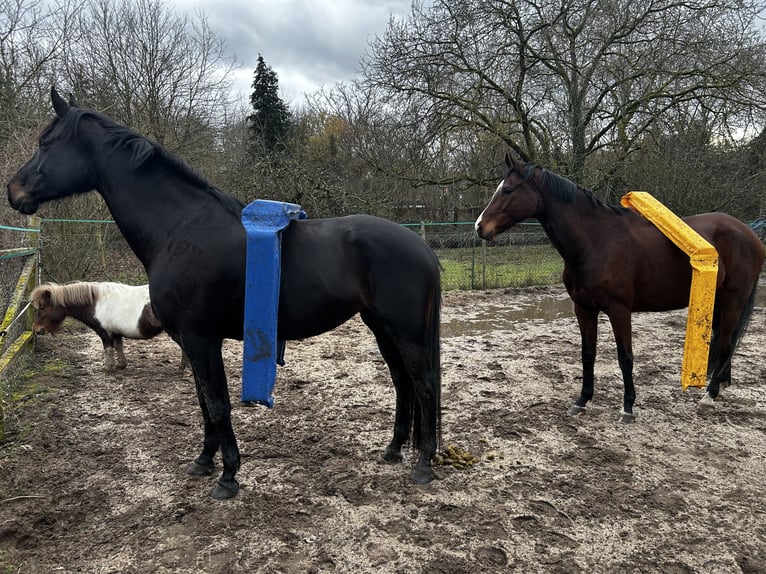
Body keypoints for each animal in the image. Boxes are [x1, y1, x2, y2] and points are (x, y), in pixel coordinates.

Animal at [30, 281, 186, 372]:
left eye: (42, 307)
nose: (36, 329)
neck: (96, 303)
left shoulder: (104, 332)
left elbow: (108, 349)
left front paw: (108, 367)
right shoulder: (116, 332)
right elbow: (118, 347)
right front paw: (121, 365)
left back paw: (183, 369)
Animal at [475, 152, 764, 422]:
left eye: (508, 189)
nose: (480, 227)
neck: (596, 240)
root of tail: (749, 234)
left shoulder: (619, 311)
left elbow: (625, 357)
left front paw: (628, 407)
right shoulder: (584, 309)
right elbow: (587, 354)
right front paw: (582, 401)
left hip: (733, 300)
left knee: (725, 343)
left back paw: (709, 395)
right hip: (717, 301)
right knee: (724, 341)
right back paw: (721, 385)